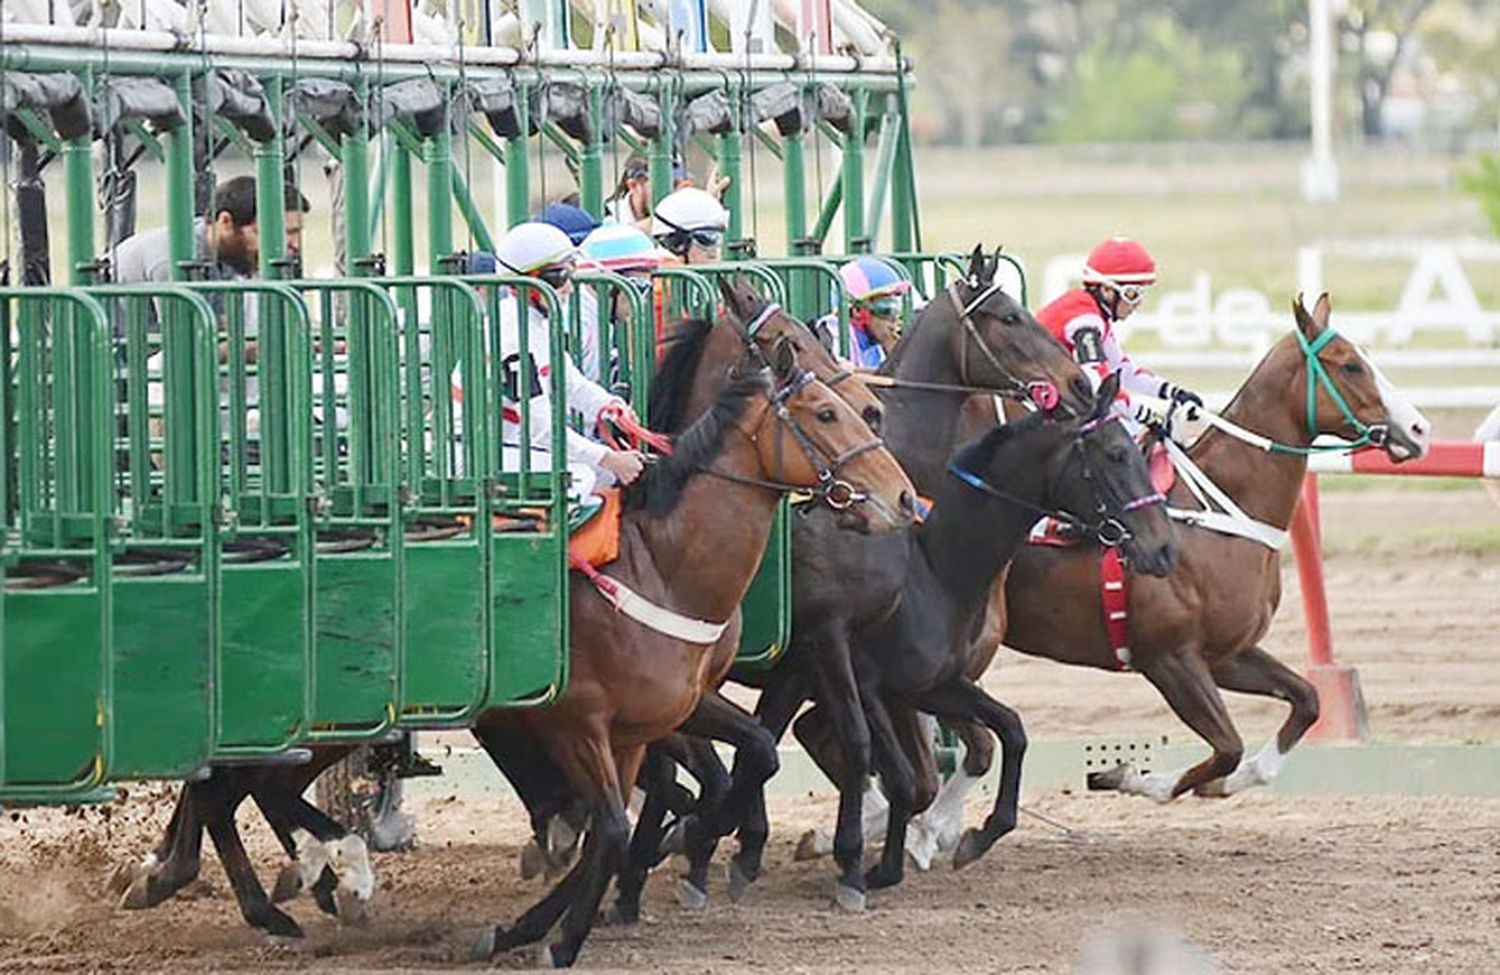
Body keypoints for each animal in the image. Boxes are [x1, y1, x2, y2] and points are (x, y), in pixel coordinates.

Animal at [900, 294, 1428, 852]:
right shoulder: (1169, 659)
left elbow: (1303, 704)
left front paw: (1207, 784)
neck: (1219, 511)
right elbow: (1227, 746)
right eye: (1350, 365)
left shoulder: (1225, 653)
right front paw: (1126, 774)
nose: (1420, 430)